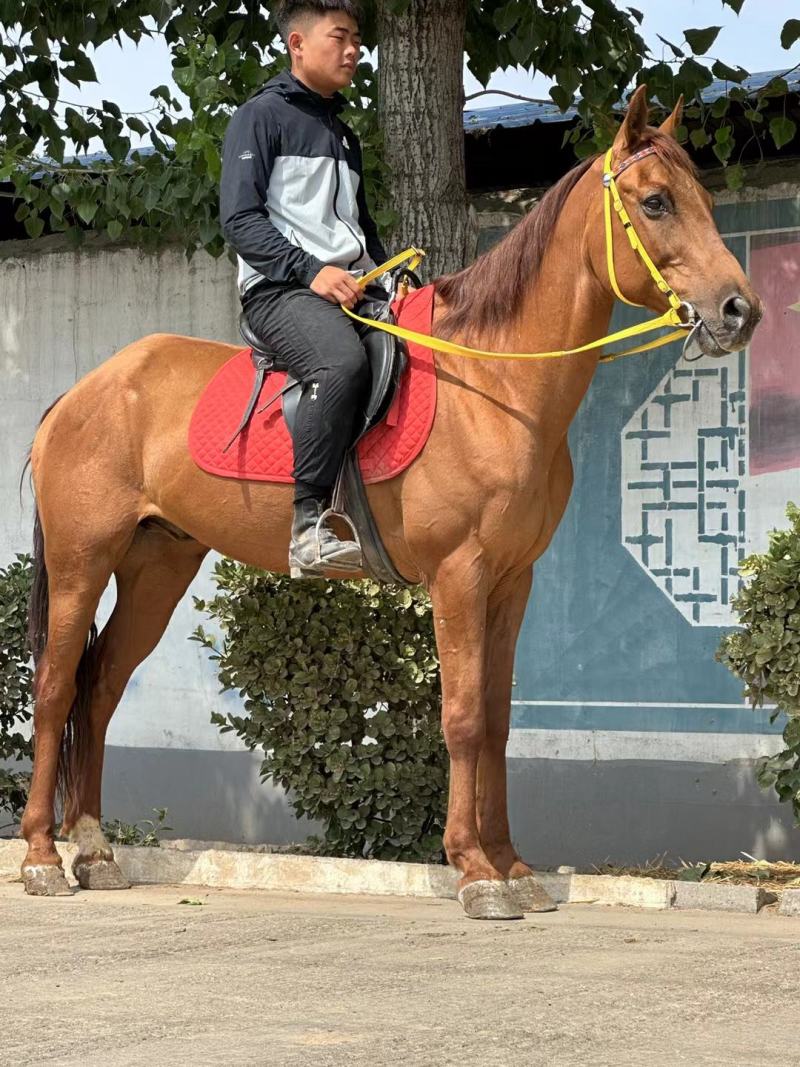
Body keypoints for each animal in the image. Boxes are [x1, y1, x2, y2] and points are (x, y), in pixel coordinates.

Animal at [19, 87, 762, 918]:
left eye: (704, 199)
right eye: (656, 201)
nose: (739, 310)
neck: (494, 381)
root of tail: (79, 395)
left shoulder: (513, 579)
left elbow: (497, 722)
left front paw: (512, 864)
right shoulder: (460, 573)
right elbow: (463, 718)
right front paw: (474, 870)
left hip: (156, 566)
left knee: (100, 688)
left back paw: (94, 848)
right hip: (83, 562)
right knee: (54, 688)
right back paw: (42, 855)